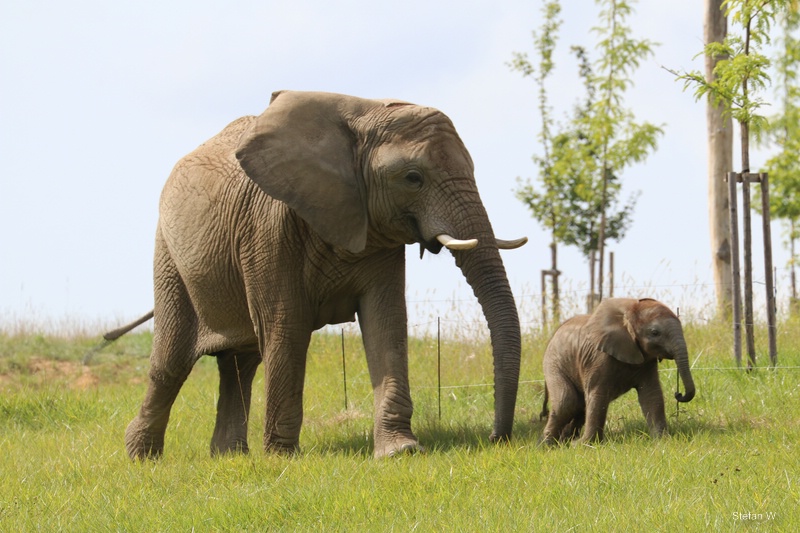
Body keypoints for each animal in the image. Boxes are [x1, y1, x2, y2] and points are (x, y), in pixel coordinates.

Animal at [124, 90, 527, 460]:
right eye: (413, 178)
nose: (496, 438)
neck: (363, 117)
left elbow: (386, 322)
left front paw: (400, 451)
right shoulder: (268, 228)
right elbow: (286, 324)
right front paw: (281, 458)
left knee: (240, 362)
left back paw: (229, 457)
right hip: (170, 258)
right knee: (172, 362)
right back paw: (142, 457)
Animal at [540, 298, 695, 445]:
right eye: (655, 332)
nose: (678, 394)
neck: (629, 313)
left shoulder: (647, 360)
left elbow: (651, 394)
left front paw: (662, 441)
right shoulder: (598, 357)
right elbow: (598, 395)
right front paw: (585, 445)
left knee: (579, 405)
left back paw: (564, 442)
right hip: (553, 364)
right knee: (566, 402)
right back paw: (547, 446)